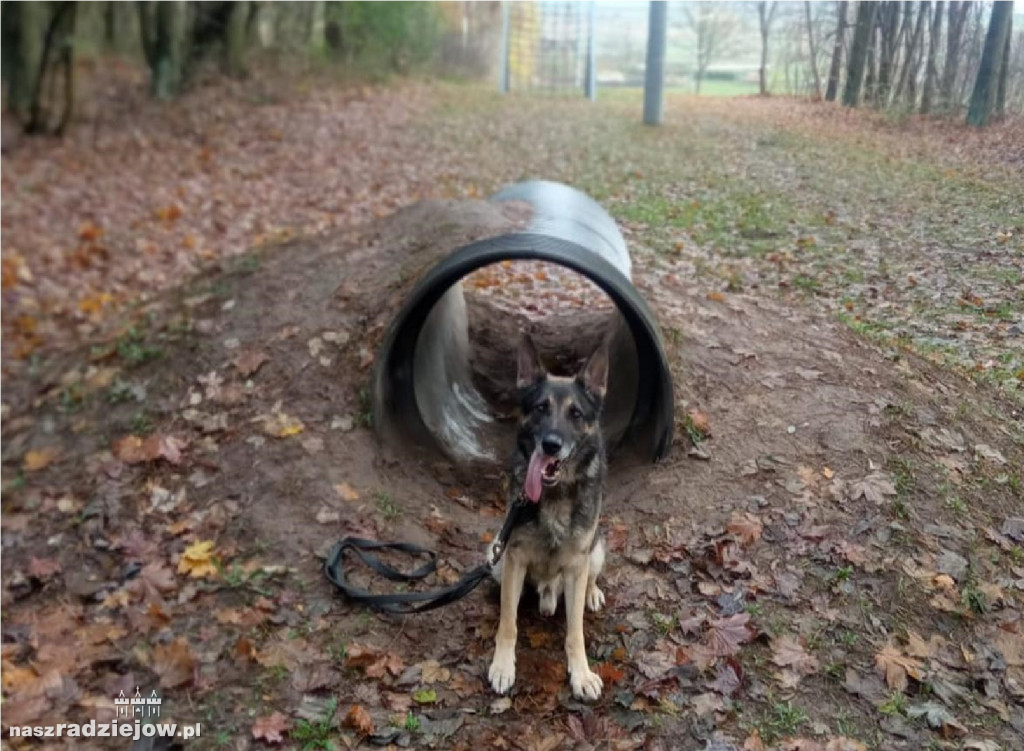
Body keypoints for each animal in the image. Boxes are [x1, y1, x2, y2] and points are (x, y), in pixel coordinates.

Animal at [487, 334, 606, 696]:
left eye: (576, 413)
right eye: (541, 408)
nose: (551, 444)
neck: (554, 495)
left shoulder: (578, 564)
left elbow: (575, 632)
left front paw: (581, 674)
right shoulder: (514, 559)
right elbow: (508, 623)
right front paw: (503, 665)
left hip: (596, 551)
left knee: (590, 580)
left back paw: (592, 593)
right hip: (496, 560)